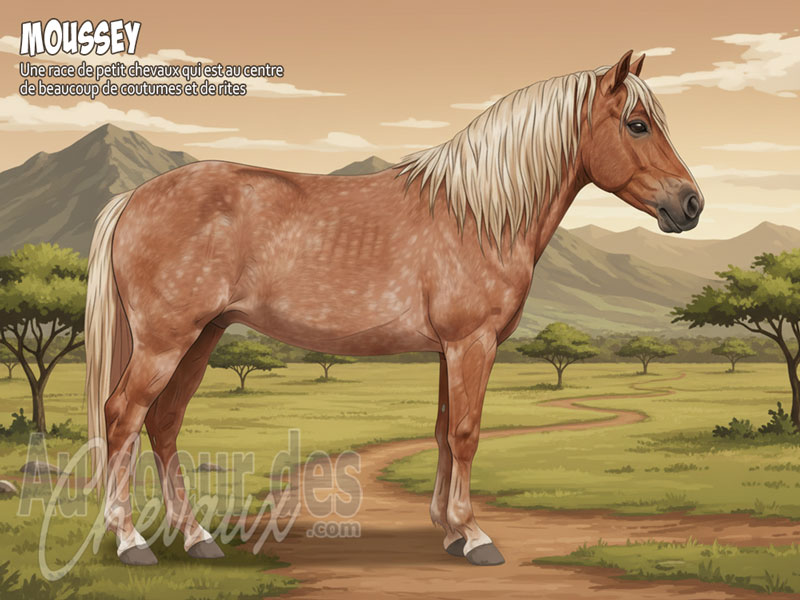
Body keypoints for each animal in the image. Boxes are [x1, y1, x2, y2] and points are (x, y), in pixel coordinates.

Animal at [85, 50, 703, 567]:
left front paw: (449, 531)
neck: (478, 215)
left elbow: (443, 430)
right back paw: (132, 543)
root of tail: (133, 197)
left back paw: (197, 538)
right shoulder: (471, 343)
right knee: (123, 417)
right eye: (637, 124)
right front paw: (475, 536)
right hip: (165, 341)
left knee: (164, 423)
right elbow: (467, 432)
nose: (691, 204)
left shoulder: (449, 349)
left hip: (202, 336)